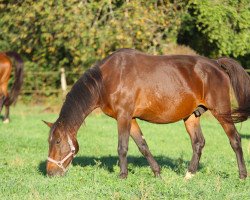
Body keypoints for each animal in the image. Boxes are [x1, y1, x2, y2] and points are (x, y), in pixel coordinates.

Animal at [46, 48, 249, 180]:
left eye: (58, 142)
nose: (49, 172)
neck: (107, 79)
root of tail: (216, 64)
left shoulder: (123, 117)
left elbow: (122, 147)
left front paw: (122, 175)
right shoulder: (131, 118)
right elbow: (143, 146)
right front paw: (157, 173)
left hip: (221, 112)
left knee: (235, 140)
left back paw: (241, 175)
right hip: (191, 116)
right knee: (198, 143)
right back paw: (189, 174)